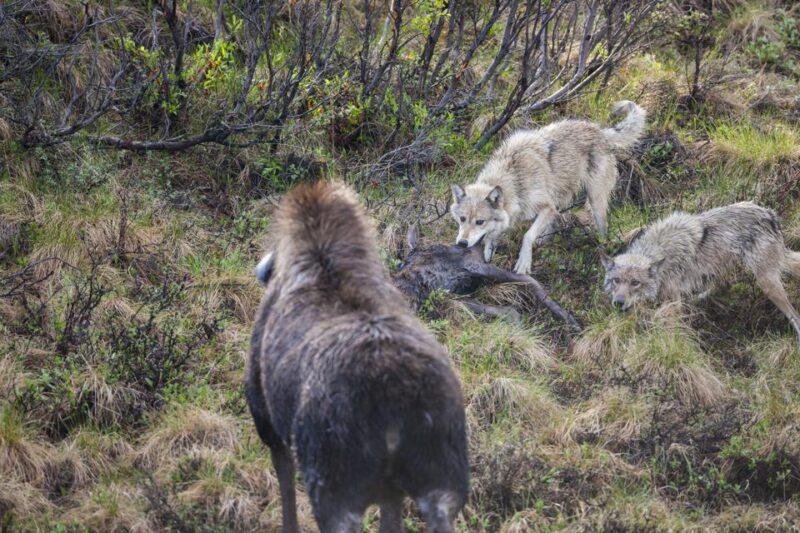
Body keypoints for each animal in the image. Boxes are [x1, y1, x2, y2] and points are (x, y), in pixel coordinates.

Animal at [450, 101, 648, 274]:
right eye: (462, 219)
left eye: (480, 222)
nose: (461, 244)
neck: (514, 179)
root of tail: (600, 131)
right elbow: (494, 237)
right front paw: (488, 256)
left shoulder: (546, 207)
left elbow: (527, 236)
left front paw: (523, 264)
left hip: (595, 201)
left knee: (602, 231)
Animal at [604, 202, 800, 342]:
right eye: (616, 280)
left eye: (635, 283)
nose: (618, 303)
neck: (659, 253)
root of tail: (769, 213)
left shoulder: (673, 302)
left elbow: (660, 317)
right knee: (723, 285)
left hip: (766, 283)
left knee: (794, 316)